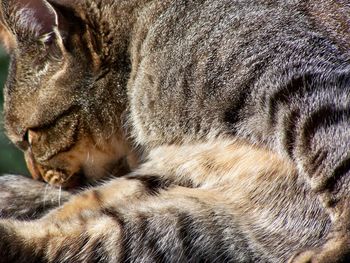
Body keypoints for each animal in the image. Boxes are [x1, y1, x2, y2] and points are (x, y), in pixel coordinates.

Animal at [0, 0, 350, 262]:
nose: (36, 174)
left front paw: (338, 248)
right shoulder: (174, 165)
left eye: (27, 138)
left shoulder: (294, 79)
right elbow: (90, 197)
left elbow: (334, 157)